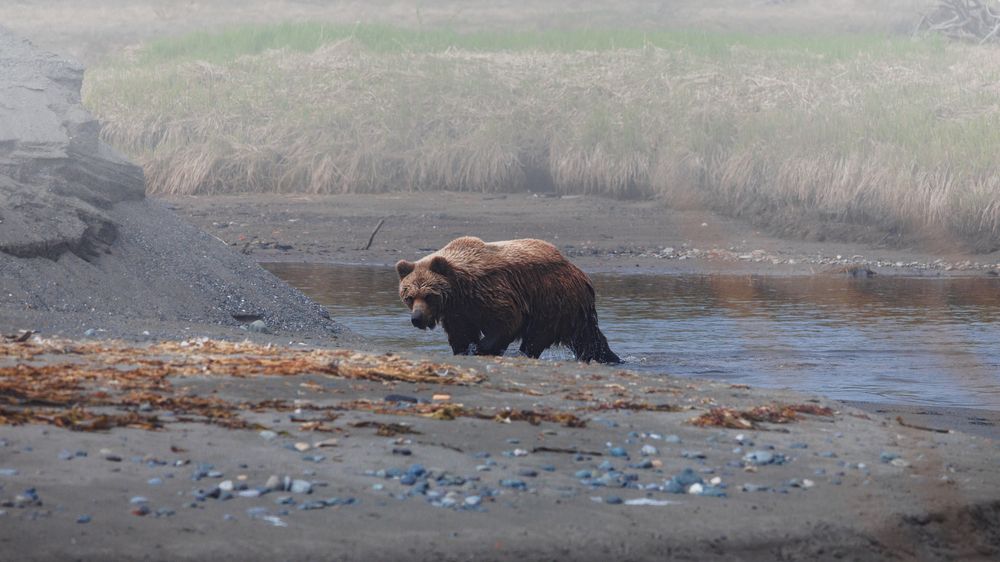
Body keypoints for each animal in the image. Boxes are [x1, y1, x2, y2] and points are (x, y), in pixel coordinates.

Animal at [395, 236, 620, 363]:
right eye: (409, 297)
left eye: (429, 295)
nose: (417, 318)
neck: (459, 290)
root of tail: (577, 270)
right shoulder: (458, 311)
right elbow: (461, 334)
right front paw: (464, 350)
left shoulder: (491, 291)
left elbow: (508, 319)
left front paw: (482, 348)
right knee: (588, 337)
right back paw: (609, 357)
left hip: (552, 299)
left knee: (538, 336)